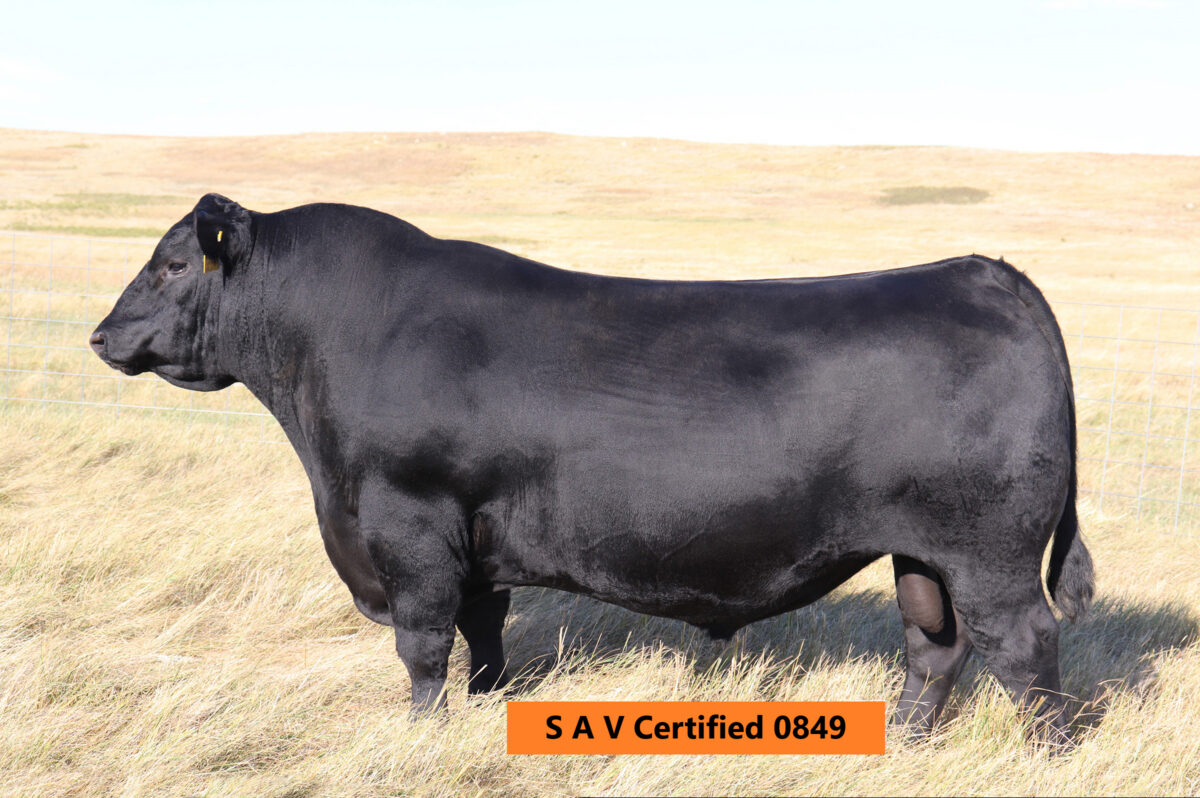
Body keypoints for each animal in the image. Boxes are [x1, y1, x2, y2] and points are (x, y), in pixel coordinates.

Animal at [91, 194, 1094, 743]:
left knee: (1024, 647)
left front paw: (421, 734)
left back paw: (1044, 755)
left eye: (172, 264)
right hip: (923, 550)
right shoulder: (474, 541)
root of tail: (985, 271)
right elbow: (485, 633)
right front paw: (487, 706)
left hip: (992, 551)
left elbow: (423, 647)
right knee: (935, 647)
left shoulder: (407, 524)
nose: (101, 336)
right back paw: (914, 744)